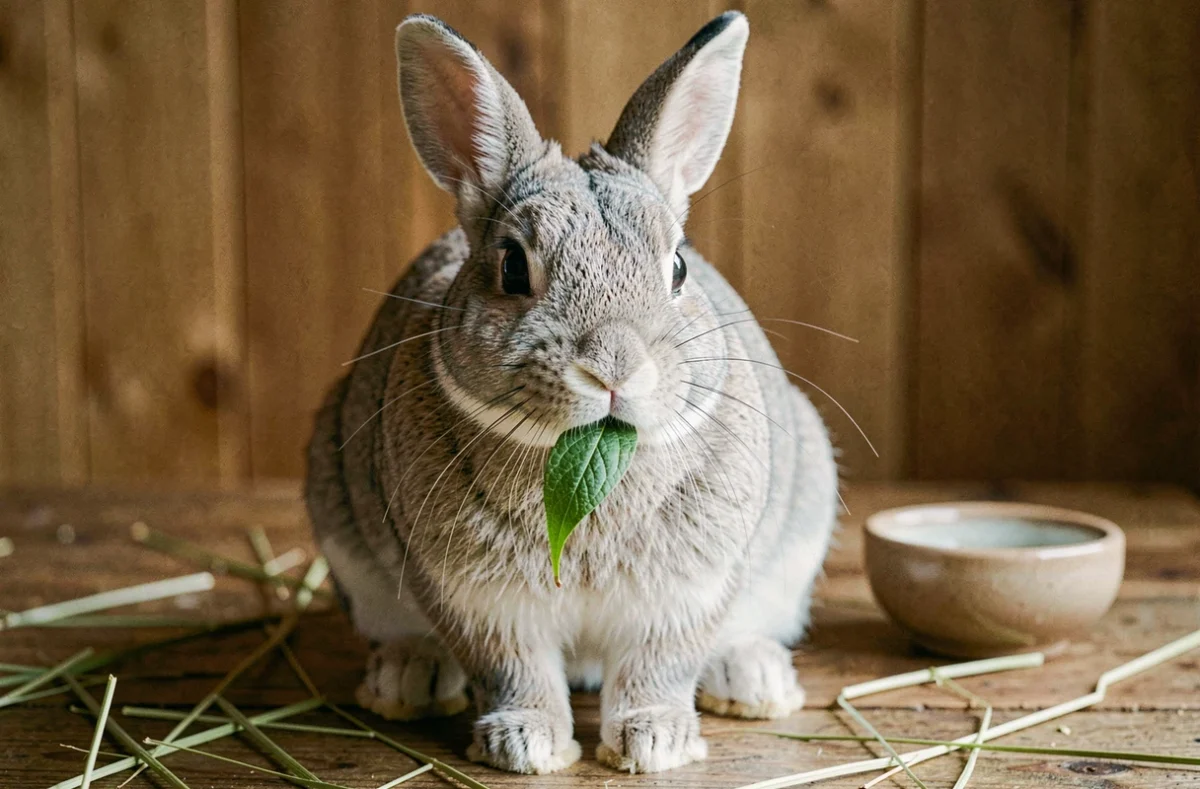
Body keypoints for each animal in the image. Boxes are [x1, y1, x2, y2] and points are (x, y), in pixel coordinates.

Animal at [305, 10, 838, 775]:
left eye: (678, 267)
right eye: (511, 265)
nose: (614, 367)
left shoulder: (684, 597)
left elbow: (656, 667)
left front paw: (655, 743)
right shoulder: (480, 603)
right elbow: (514, 668)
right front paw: (526, 745)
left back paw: (754, 680)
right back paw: (407, 677)